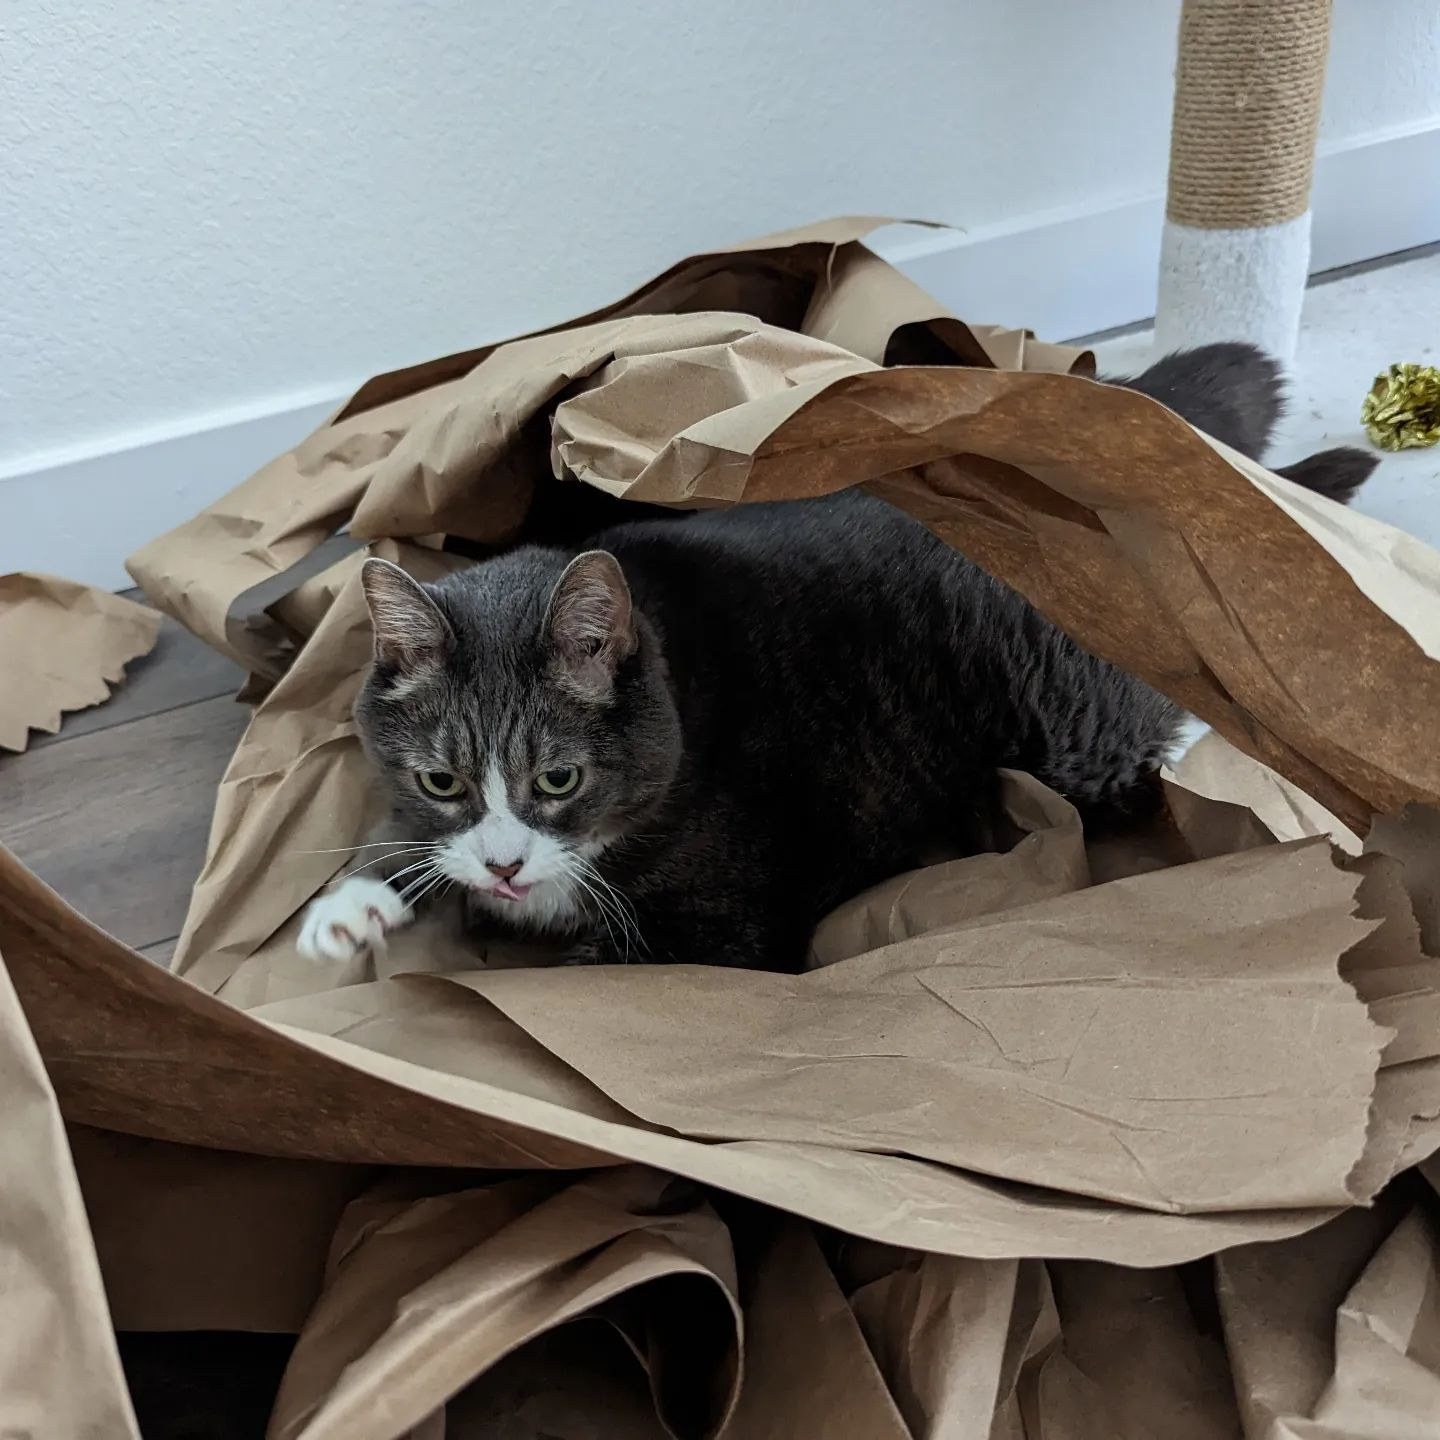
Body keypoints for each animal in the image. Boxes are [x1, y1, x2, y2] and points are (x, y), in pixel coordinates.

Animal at [297, 343, 1377, 973]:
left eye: (559, 778)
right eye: (441, 779)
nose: (505, 866)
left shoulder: (718, 931)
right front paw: (352, 903)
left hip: (1077, 723)